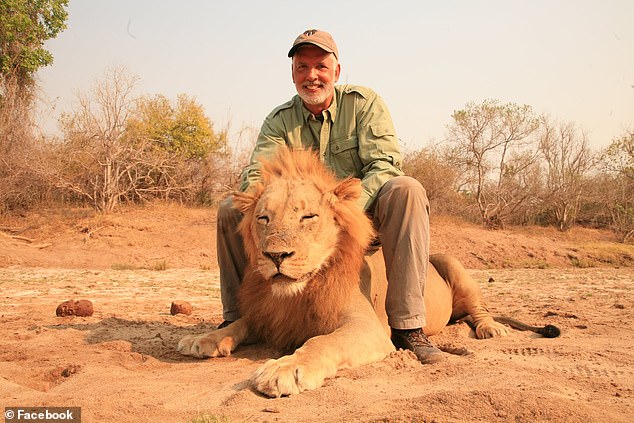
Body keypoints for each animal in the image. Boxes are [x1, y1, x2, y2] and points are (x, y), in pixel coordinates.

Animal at [178, 148, 556, 398]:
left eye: (308, 217)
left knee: (479, 309)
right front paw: (205, 338)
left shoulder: (368, 328)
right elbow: (238, 324)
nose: (276, 256)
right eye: (263, 218)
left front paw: (284, 369)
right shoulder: (268, 314)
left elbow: (321, 342)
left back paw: (488, 329)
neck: (300, 291)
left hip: (451, 262)